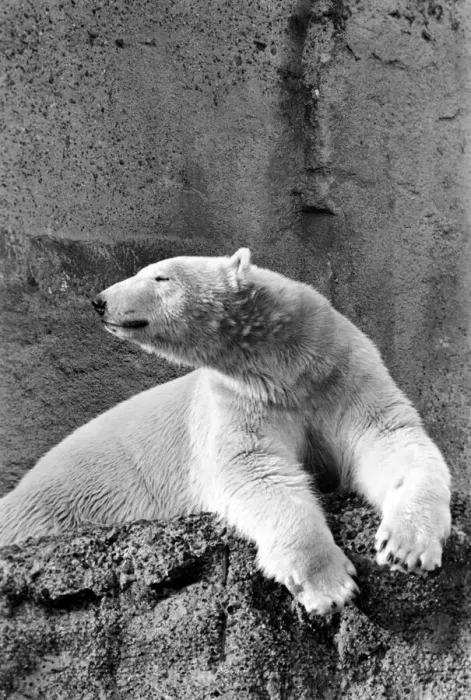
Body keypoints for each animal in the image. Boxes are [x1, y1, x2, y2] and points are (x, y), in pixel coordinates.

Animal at [0, 249, 451, 615]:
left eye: (161, 277)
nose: (100, 300)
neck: (287, 364)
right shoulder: (239, 398)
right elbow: (253, 469)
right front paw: (331, 586)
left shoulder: (340, 373)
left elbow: (388, 438)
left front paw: (407, 547)